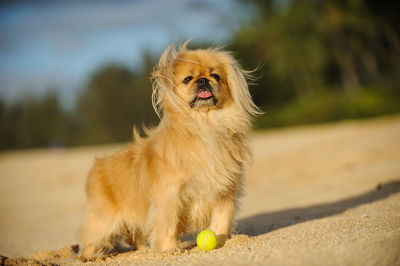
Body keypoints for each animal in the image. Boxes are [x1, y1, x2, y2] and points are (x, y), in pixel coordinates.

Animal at [79, 40, 260, 255]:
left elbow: (221, 220)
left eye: (215, 76)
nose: (203, 81)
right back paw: (92, 256)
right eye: (188, 79)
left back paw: (144, 250)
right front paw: (170, 249)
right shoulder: (169, 196)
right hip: (104, 221)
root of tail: (97, 167)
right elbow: (167, 225)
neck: (205, 126)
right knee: (90, 238)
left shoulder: (224, 191)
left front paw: (222, 240)